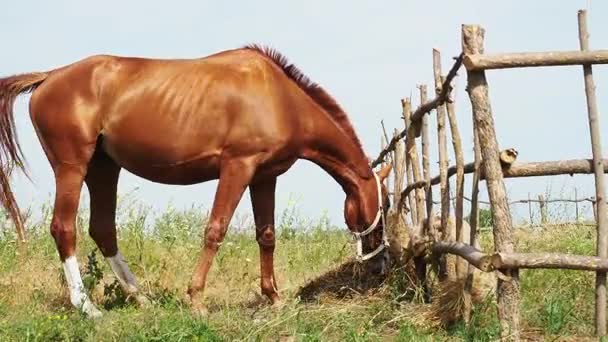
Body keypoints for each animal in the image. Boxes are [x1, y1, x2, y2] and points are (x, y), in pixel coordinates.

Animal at [0, 45, 390, 318]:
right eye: (384, 207)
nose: (379, 263)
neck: (281, 98)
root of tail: (49, 76)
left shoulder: (264, 177)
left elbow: (267, 236)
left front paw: (274, 298)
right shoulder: (237, 167)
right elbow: (215, 230)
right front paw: (197, 299)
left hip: (103, 168)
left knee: (103, 229)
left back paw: (142, 298)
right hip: (72, 168)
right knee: (64, 228)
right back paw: (87, 307)